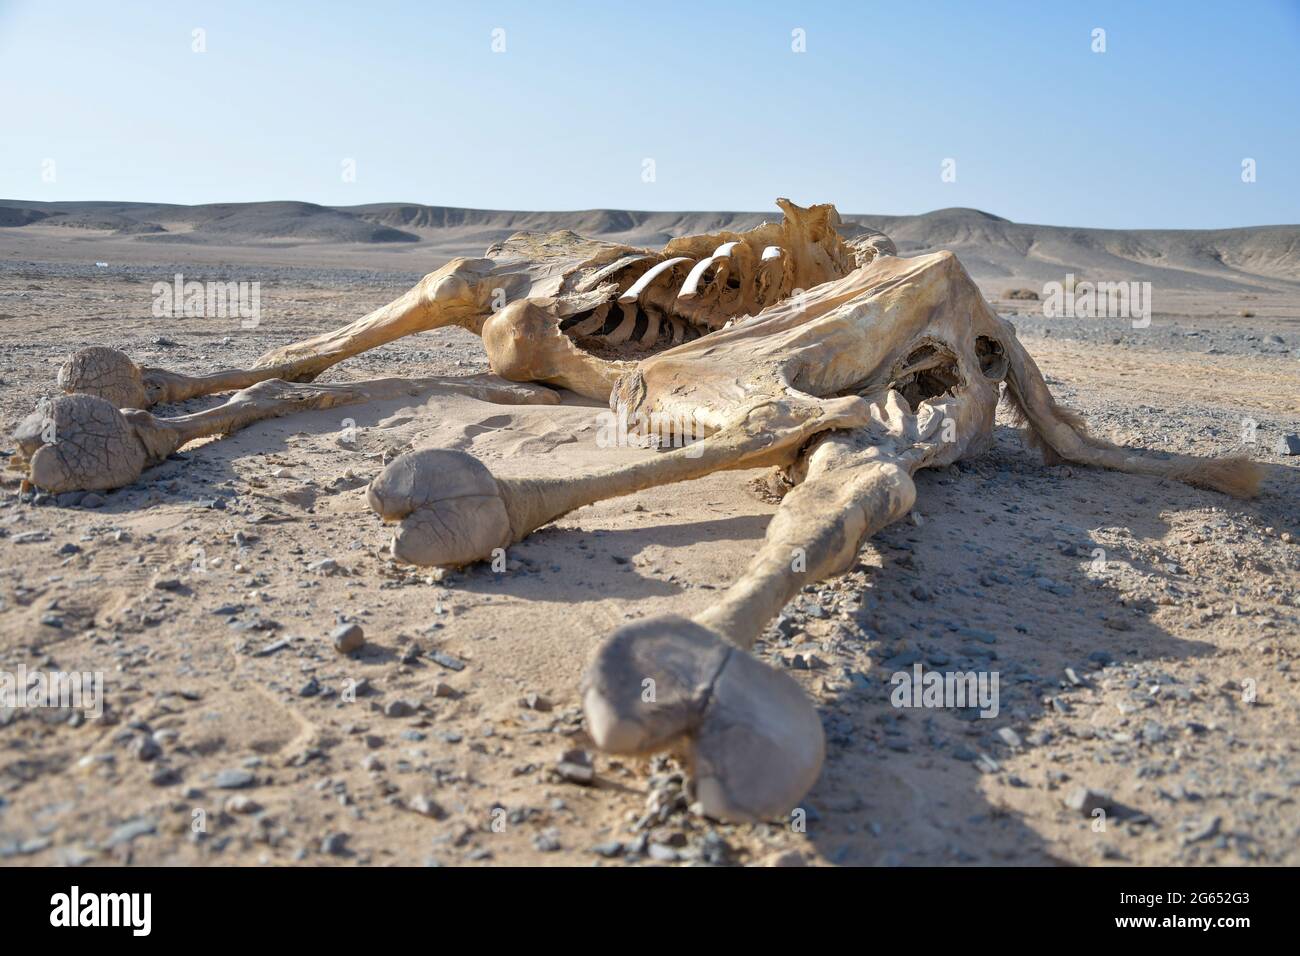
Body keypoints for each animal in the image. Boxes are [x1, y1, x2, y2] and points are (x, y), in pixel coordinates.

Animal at [10, 199, 1261, 822]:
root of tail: (991, 324)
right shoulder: (524, 360)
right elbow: (325, 382)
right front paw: (125, 416)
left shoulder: (492, 291)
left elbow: (343, 346)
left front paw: (111, 416)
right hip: (896, 391)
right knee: (862, 468)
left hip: (810, 346)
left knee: (781, 421)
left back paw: (652, 654)